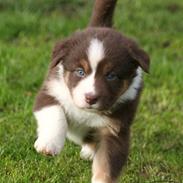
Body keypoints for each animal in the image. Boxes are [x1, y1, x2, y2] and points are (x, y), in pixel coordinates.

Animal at [33, 0, 150, 182]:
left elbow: (107, 165)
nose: (90, 98)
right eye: (80, 71)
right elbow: (56, 113)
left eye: (111, 76)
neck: (86, 112)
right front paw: (48, 145)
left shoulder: (115, 130)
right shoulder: (50, 91)